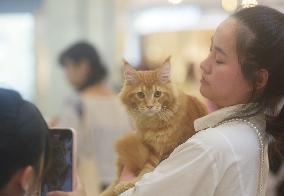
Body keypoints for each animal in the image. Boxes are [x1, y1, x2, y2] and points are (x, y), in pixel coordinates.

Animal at [100, 57, 206, 195]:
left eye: (157, 94)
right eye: (141, 94)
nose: (149, 106)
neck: (153, 124)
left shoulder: (166, 152)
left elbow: (143, 176)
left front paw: (126, 184)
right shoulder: (151, 150)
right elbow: (142, 172)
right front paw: (121, 185)